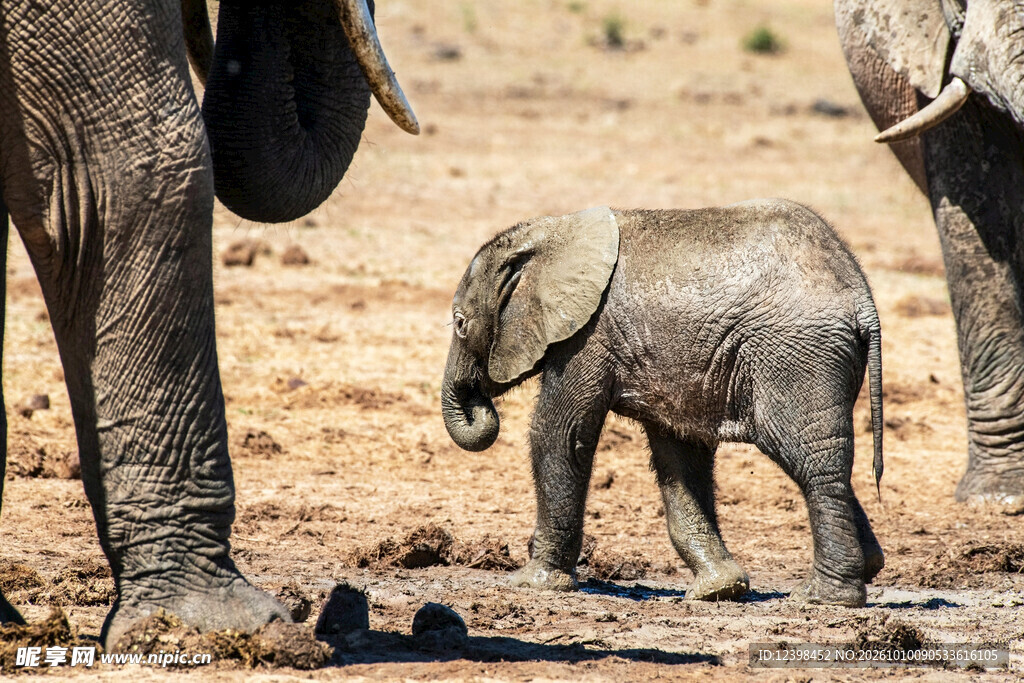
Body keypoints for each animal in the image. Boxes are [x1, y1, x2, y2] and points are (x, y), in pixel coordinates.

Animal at [441, 201, 885, 606]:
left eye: (460, 323)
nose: (482, 405)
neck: (552, 231)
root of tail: (862, 297)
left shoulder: (587, 335)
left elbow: (560, 434)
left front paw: (532, 583)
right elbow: (680, 454)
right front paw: (718, 590)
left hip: (795, 357)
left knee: (811, 460)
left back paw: (823, 598)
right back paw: (867, 569)